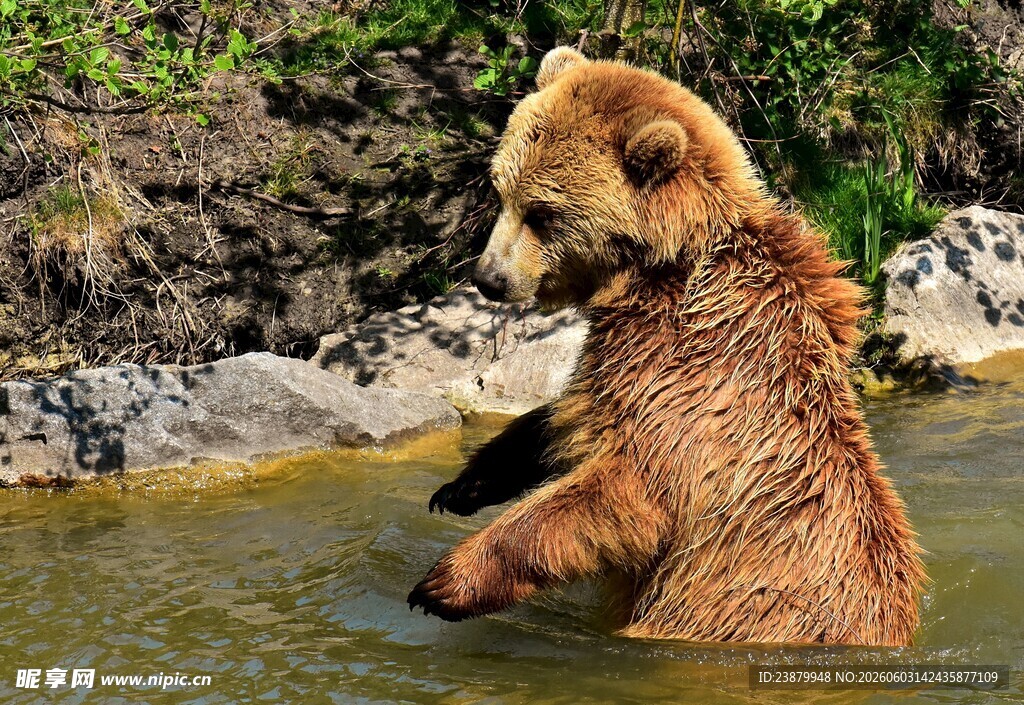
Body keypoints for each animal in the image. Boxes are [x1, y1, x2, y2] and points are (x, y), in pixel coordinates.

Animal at [408, 47, 926, 645]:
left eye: (543, 213)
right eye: (500, 191)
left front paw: (445, 581)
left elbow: (624, 492)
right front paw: (464, 485)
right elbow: (562, 419)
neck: (661, 272)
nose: (488, 278)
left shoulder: (693, 382)